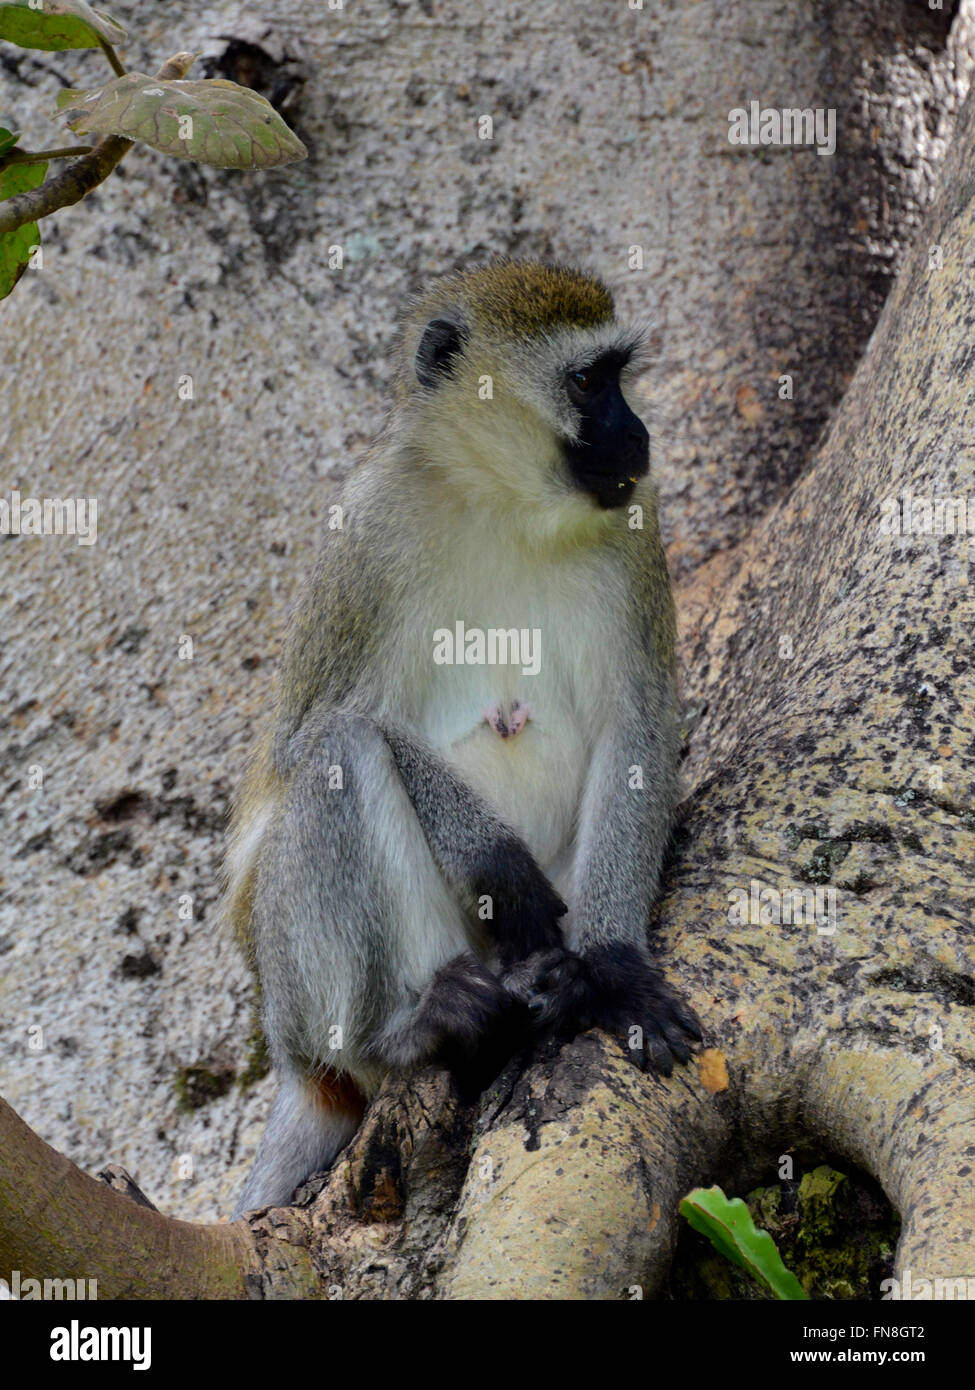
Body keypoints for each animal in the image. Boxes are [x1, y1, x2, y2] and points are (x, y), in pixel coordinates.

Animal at [228, 261, 700, 1217]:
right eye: (588, 382)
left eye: (618, 376)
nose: (636, 432)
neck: (504, 504)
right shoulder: (362, 535)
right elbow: (309, 741)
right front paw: (492, 858)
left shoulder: (636, 526)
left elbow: (639, 723)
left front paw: (614, 968)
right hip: (302, 1007)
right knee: (337, 757)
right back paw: (408, 1033)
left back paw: (554, 985)